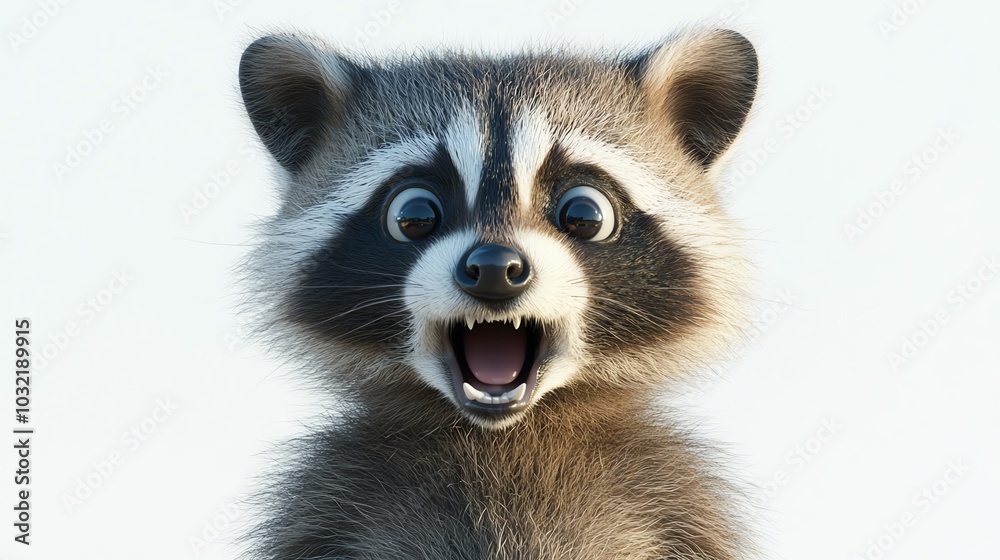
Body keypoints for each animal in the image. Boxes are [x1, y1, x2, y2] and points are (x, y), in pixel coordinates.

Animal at [238, 27, 759, 560]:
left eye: (584, 214)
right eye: (413, 215)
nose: (494, 269)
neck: (502, 432)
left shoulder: (678, 505)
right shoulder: (324, 507)